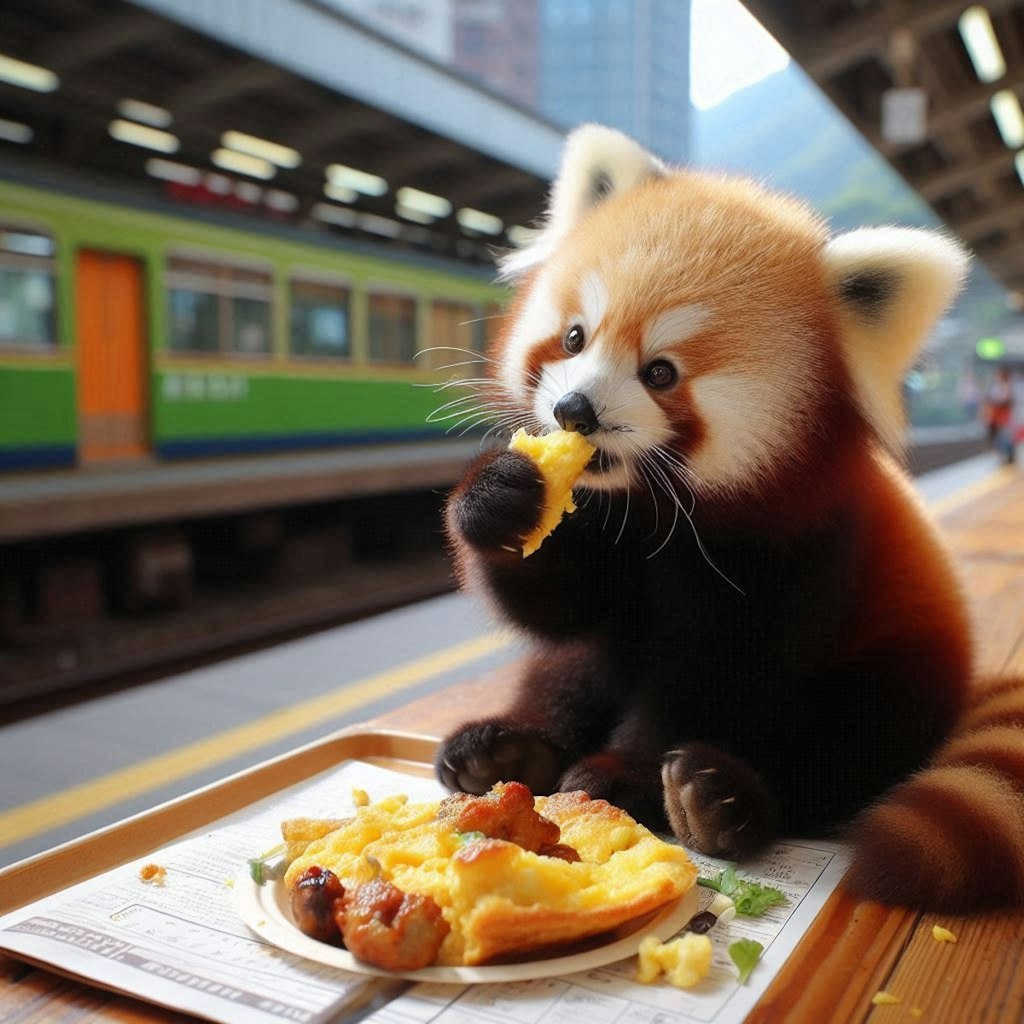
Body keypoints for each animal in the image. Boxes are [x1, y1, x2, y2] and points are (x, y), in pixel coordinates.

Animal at [436, 121, 1019, 913]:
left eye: (660, 373)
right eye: (575, 338)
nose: (574, 412)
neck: (652, 510)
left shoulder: (799, 548)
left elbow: (714, 674)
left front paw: (622, 776)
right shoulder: (601, 525)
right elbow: (562, 611)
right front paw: (500, 498)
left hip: (901, 663)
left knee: (848, 743)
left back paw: (726, 801)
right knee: (573, 664)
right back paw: (508, 749)